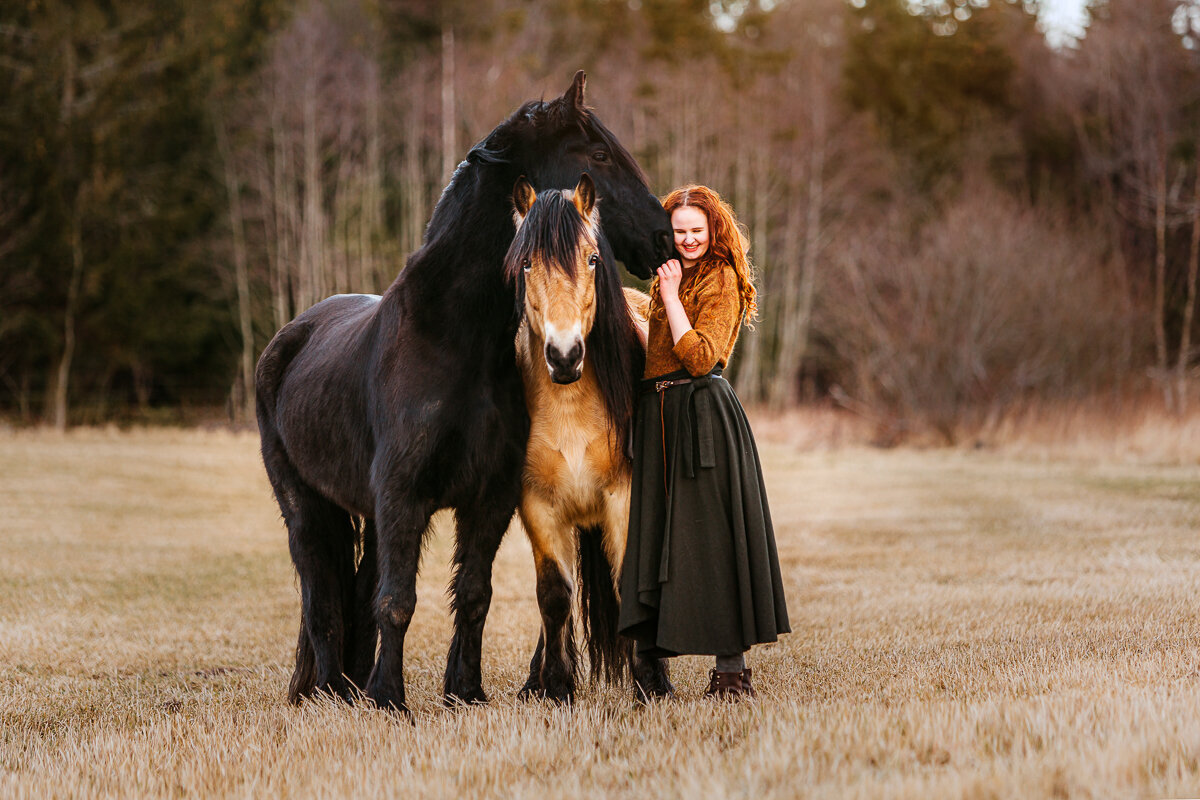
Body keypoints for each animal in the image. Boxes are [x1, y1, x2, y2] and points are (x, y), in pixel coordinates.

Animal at [254, 70, 676, 714]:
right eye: (600, 154)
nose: (665, 238)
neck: (454, 338)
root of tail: (291, 335)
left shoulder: (488, 497)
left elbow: (472, 592)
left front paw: (465, 692)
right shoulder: (401, 495)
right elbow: (398, 600)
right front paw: (389, 699)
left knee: (353, 591)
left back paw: (347, 688)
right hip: (306, 507)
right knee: (321, 593)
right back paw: (330, 690)